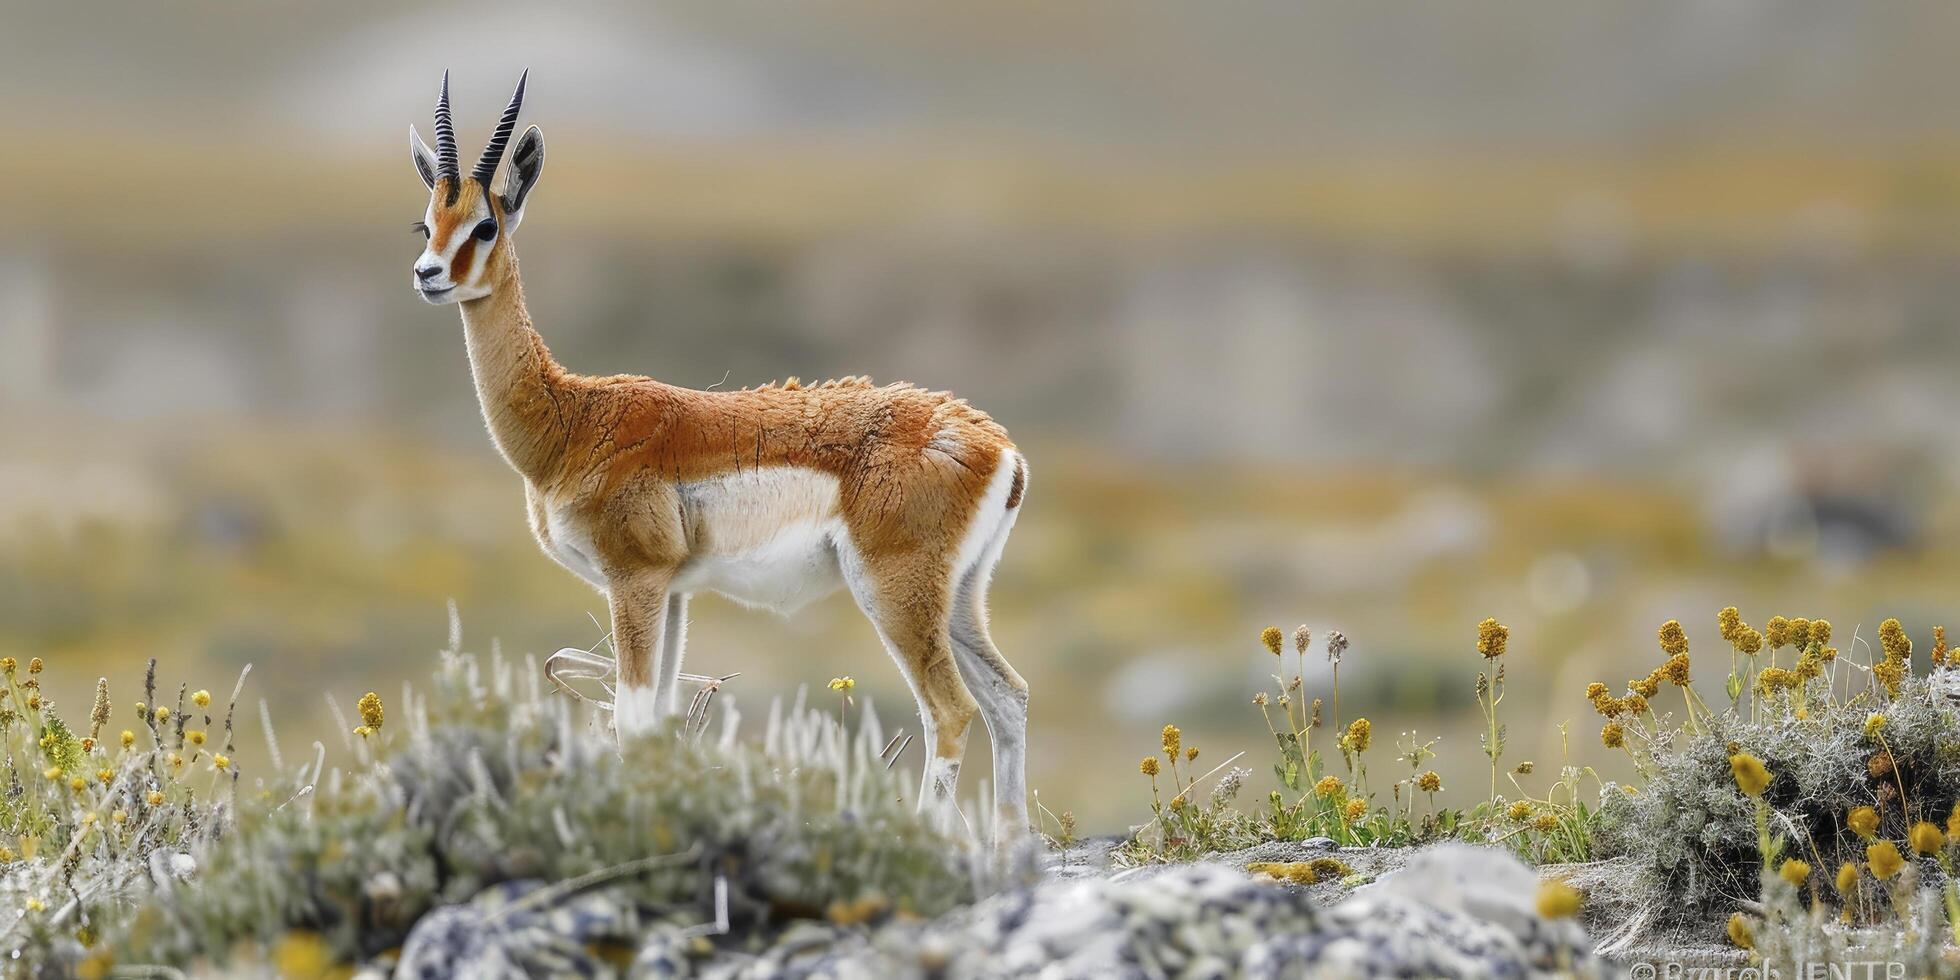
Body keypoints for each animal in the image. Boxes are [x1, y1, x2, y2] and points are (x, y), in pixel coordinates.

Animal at [407, 72, 1034, 831]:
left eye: (486, 225)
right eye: (426, 222)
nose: (427, 274)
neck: (571, 422)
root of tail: (997, 446)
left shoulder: (635, 581)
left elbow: (633, 718)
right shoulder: (675, 592)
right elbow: (655, 720)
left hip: (895, 596)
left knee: (951, 710)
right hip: (962, 598)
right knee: (1008, 698)